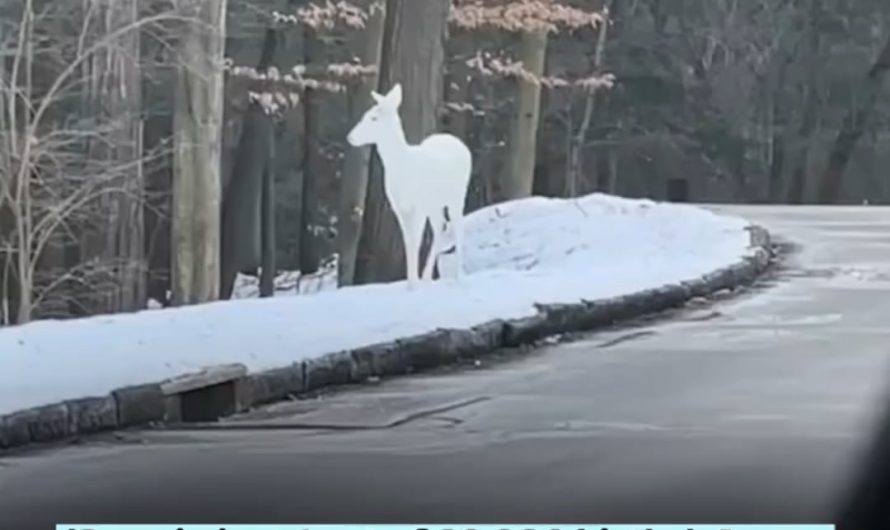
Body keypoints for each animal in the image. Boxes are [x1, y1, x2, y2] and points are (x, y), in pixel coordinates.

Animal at [346, 83, 472, 289]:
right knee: (440, 228)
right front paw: (411, 283)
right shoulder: (399, 207)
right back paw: (427, 277)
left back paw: (459, 278)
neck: (403, 165)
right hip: (434, 203)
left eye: (374, 117)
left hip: (458, 194)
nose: (350, 137)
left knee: (457, 227)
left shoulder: (418, 205)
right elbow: (407, 242)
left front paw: (413, 286)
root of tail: (460, 144)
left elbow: (416, 241)